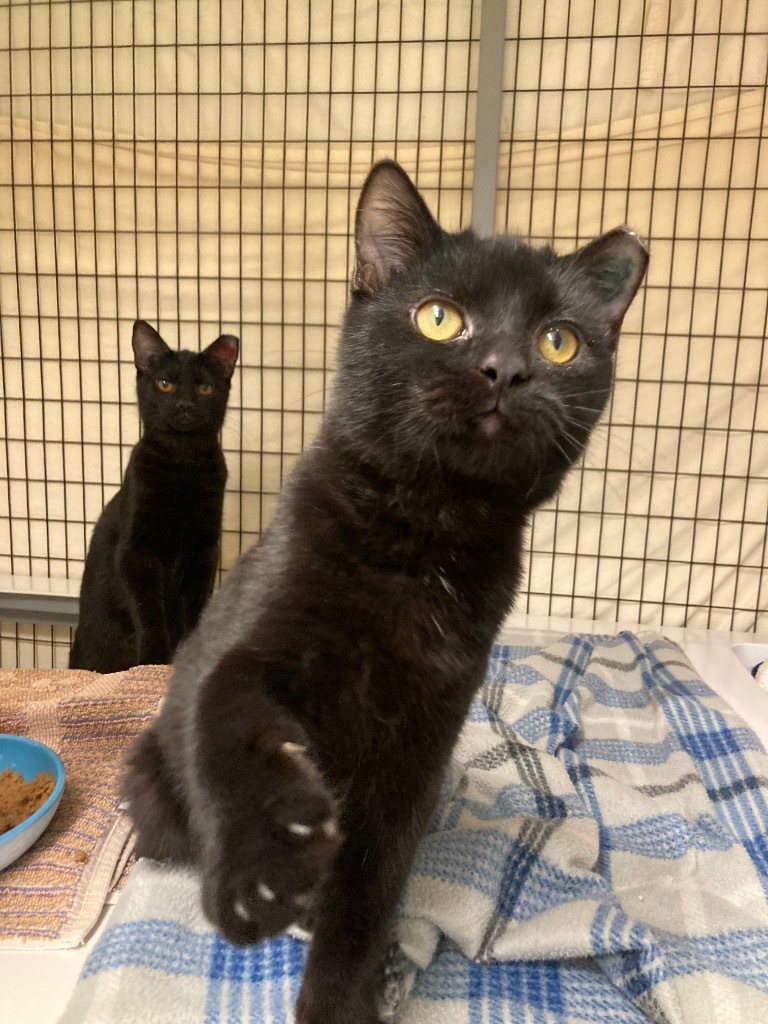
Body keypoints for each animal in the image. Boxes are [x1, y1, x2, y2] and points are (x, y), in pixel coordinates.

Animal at [69, 319, 239, 671]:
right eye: (164, 384)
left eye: (204, 388)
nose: (184, 405)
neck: (183, 462)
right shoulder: (136, 551)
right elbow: (149, 610)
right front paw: (154, 662)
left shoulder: (204, 550)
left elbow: (196, 607)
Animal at [121, 163, 651, 1019]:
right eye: (439, 318)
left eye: (559, 340)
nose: (506, 369)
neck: (422, 536)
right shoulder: (236, 646)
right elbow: (228, 718)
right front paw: (265, 868)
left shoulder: (418, 750)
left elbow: (370, 890)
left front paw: (343, 994)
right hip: (152, 787)